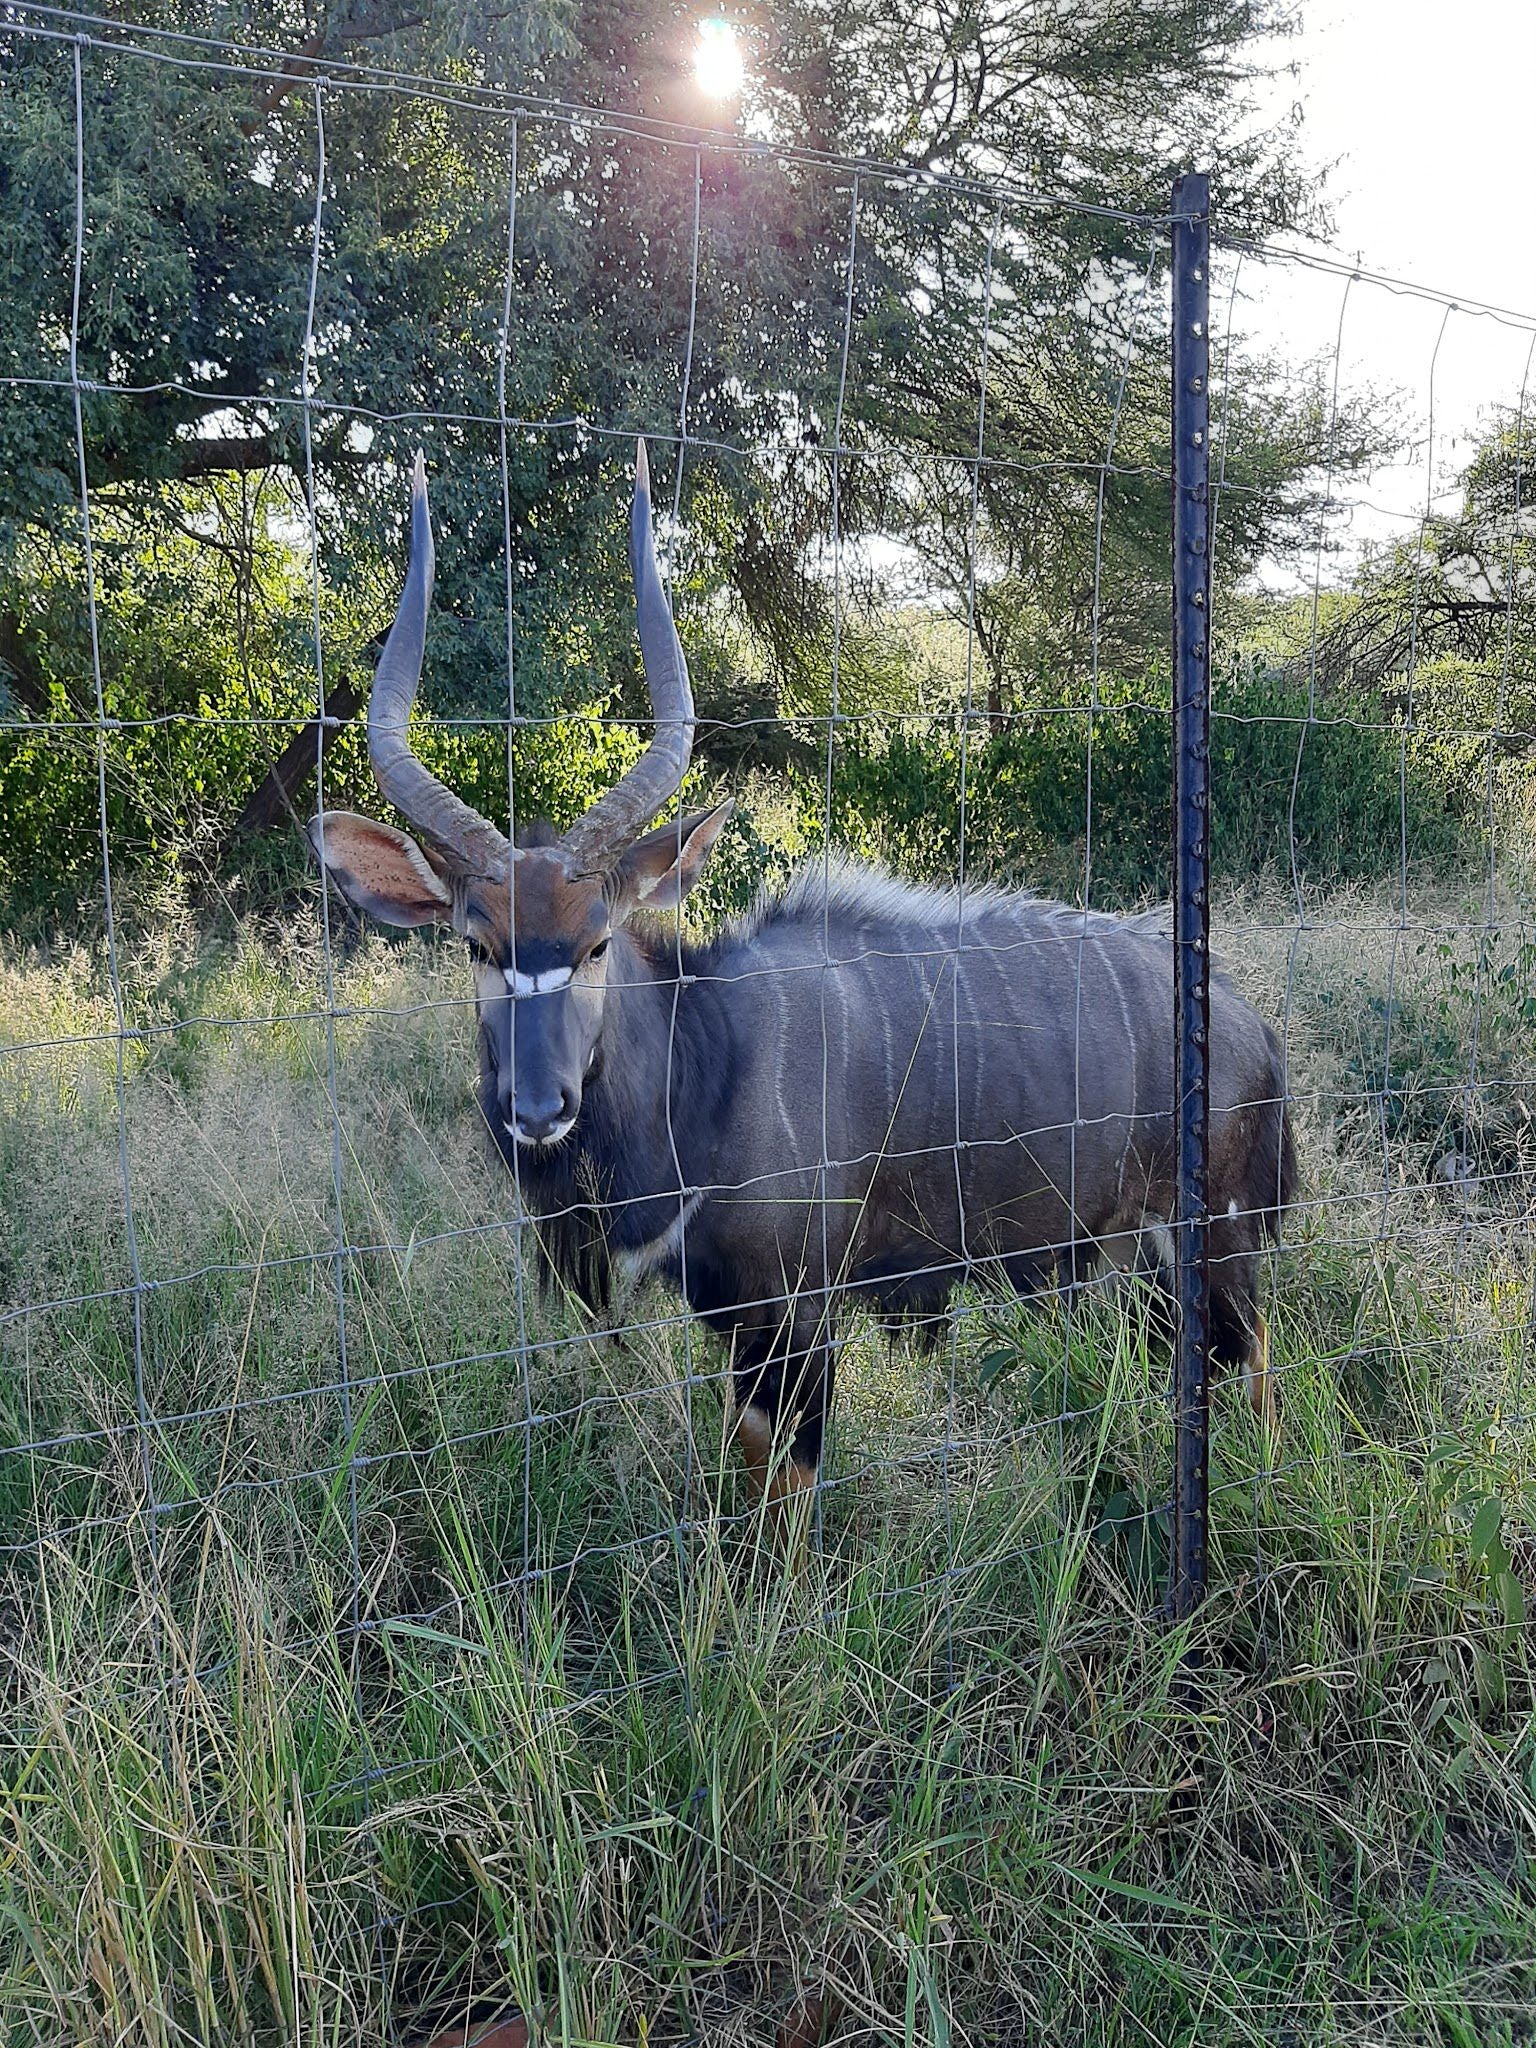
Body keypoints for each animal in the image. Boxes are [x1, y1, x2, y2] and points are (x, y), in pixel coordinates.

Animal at [307, 448, 1294, 1548]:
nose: (538, 1106)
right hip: (1123, 1256)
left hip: (1216, 1241)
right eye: (477, 944)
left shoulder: (797, 1311)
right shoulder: (732, 1318)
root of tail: (1248, 1022)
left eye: (598, 938)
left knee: (1254, 1365)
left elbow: (789, 1488)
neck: (706, 1060)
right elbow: (749, 1465)